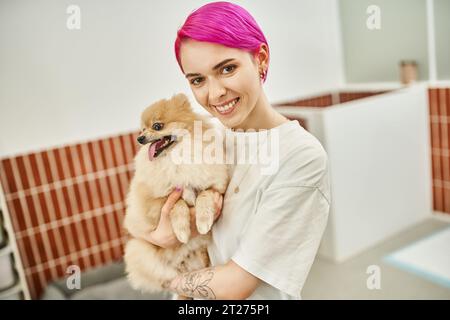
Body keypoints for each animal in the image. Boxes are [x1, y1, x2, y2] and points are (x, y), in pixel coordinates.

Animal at [123, 92, 229, 296]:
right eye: (142, 129)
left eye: (157, 126)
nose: (140, 138)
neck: (177, 159)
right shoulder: (154, 202)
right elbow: (177, 204)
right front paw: (182, 232)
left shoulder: (215, 187)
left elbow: (203, 197)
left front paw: (203, 223)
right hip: (139, 250)